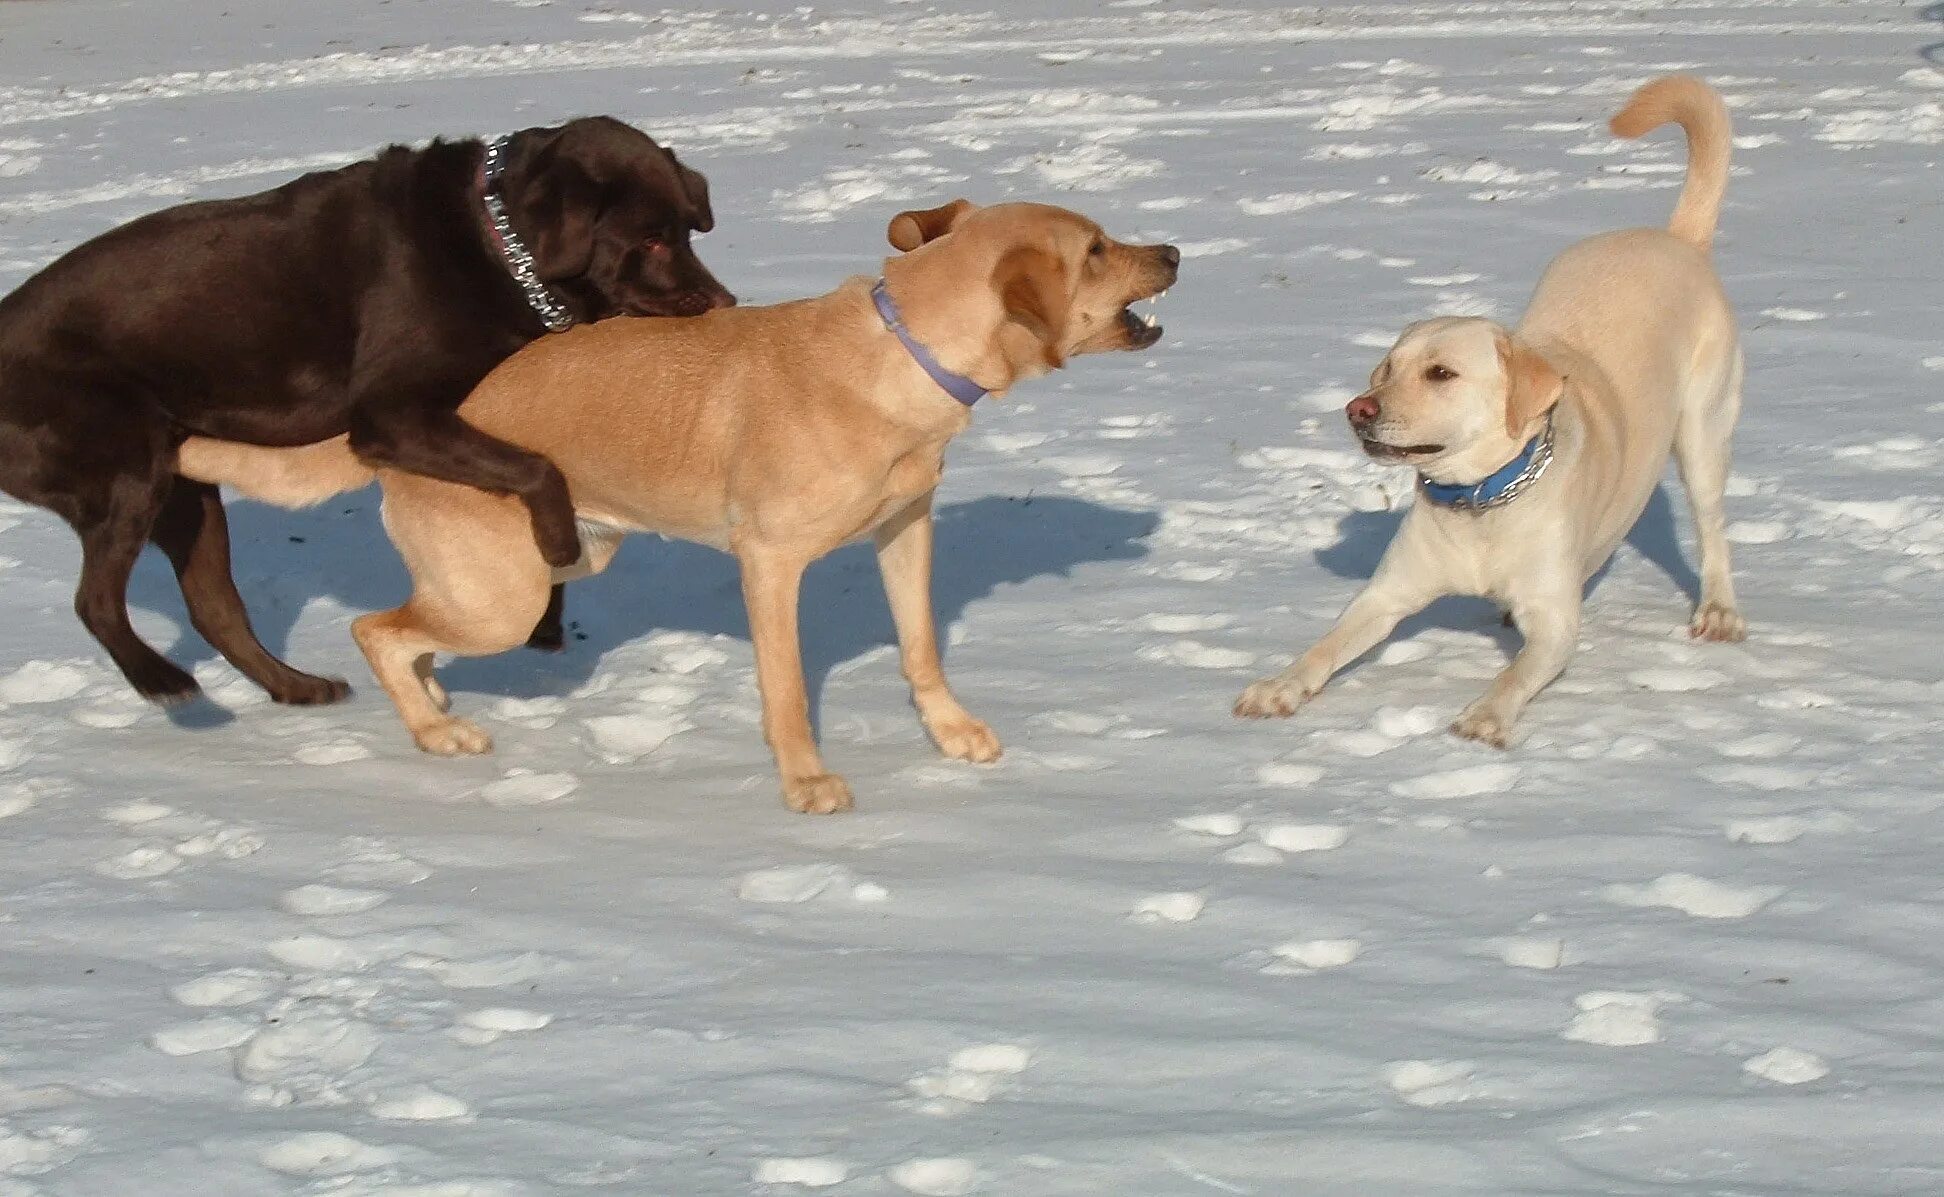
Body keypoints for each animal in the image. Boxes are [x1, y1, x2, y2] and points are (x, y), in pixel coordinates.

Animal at [1236, 74, 1757, 742]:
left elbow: (1519, 672)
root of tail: (1676, 238)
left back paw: (1719, 610)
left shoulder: (1555, 622)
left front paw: (1484, 715)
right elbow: (1325, 646)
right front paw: (1277, 687)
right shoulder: (1385, 596)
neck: (1481, 502)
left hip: (1703, 433)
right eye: (1387, 368)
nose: (1357, 409)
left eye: (1440, 373)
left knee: (1712, 527)